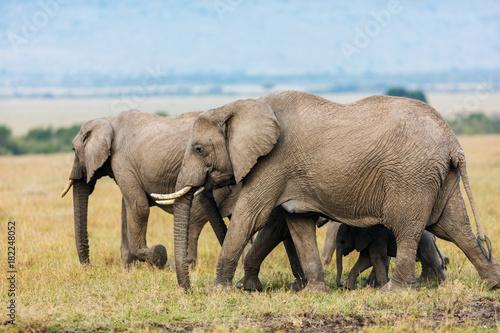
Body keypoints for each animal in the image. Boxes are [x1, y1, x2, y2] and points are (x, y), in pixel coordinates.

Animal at [60, 109, 238, 270]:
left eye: (73, 150)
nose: (91, 266)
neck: (108, 119)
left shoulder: (122, 160)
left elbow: (138, 206)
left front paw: (158, 255)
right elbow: (126, 208)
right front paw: (128, 268)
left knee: (194, 217)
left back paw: (177, 266)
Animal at [156, 89, 500, 290]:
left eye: (199, 149)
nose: (187, 287)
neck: (240, 105)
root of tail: (453, 142)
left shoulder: (273, 163)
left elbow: (250, 218)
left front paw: (221, 290)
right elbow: (297, 225)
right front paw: (312, 290)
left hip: (412, 176)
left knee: (409, 229)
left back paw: (395, 290)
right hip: (437, 177)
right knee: (454, 227)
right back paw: (493, 284)